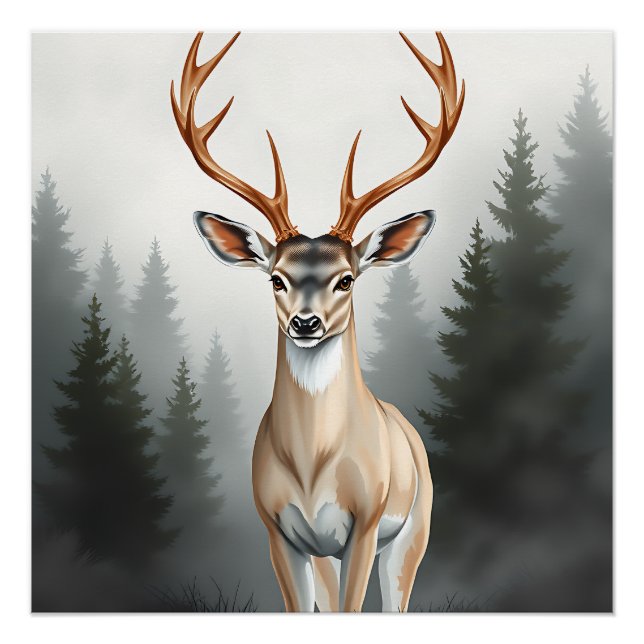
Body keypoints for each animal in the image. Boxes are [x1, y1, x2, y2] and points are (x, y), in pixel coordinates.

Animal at [171, 31, 464, 612]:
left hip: (414, 526)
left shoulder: (366, 524)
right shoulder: (278, 529)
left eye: (347, 279)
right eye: (275, 279)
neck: (312, 467)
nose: (305, 324)